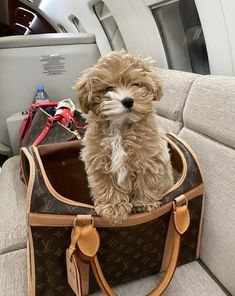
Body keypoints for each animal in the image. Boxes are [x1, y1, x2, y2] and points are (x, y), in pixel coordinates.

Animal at [74, 51, 173, 224]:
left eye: (135, 84)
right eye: (109, 88)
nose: (128, 100)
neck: (120, 128)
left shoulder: (148, 157)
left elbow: (146, 179)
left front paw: (143, 204)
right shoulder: (99, 161)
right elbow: (106, 184)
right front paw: (113, 208)